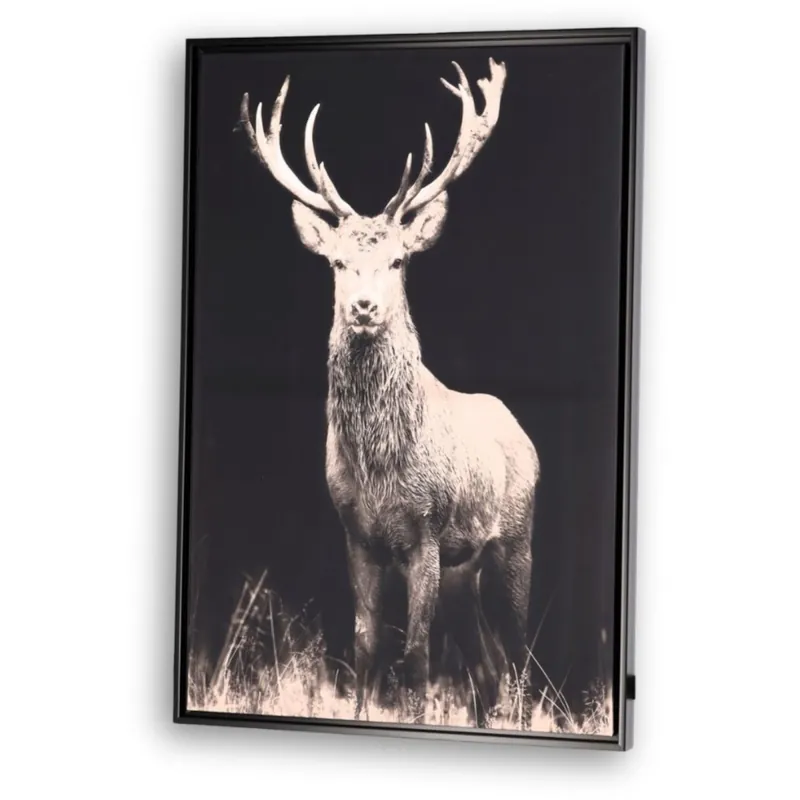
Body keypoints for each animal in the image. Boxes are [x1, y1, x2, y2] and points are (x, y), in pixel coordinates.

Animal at [240, 58, 540, 727]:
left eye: (399, 260)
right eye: (336, 263)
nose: (364, 306)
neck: (381, 468)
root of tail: (522, 434)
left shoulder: (425, 531)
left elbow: (418, 653)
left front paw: (417, 717)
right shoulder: (356, 533)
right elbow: (366, 646)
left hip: (513, 538)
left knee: (519, 654)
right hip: (463, 568)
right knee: (488, 667)